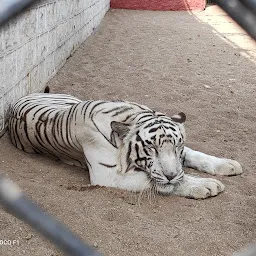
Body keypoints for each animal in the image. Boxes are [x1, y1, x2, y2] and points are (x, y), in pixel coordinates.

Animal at [8, 89, 242, 199]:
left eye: (177, 146)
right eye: (151, 148)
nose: (171, 174)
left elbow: (197, 155)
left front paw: (228, 165)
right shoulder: (108, 174)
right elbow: (166, 181)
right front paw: (206, 185)